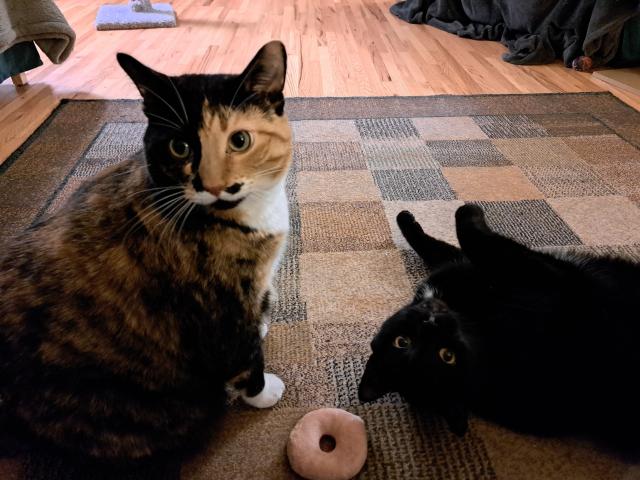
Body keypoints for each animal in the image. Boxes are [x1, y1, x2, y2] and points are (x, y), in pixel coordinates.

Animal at [1, 42, 292, 464]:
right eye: (179, 146)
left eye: (239, 140)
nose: (214, 186)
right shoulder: (217, 303)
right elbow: (244, 351)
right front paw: (263, 391)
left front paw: (264, 319)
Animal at [358, 202, 640, 446]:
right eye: (447, 356)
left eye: (401, 341)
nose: (433, 322)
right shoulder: (554, 283)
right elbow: (479, 239)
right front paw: (470, 210)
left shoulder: (462, 267)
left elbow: (439, 246)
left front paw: (406, 218)